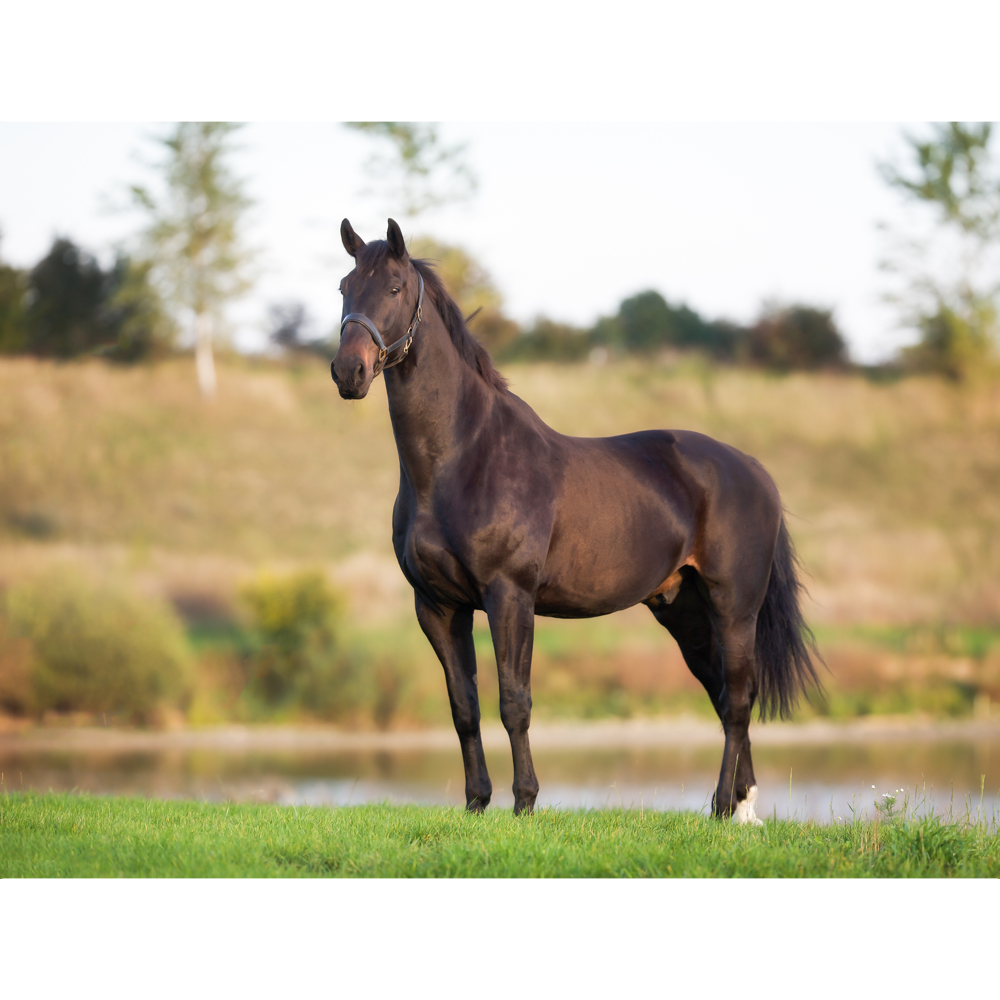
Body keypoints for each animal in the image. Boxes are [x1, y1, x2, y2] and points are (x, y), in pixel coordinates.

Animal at [331, 219, 820, 824]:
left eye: (395, 288)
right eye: (344, 287)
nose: (348, 371)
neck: (463, 458)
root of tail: (753, 470)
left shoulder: (509, 596)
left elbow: (514, 702)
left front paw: (524, 803)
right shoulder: (438, 606)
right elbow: (464, 707)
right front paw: (476, 803)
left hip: (734, 606)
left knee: (737, 699)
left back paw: (723, 804)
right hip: (683, 609)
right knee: (726, 691)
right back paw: (742, 810)